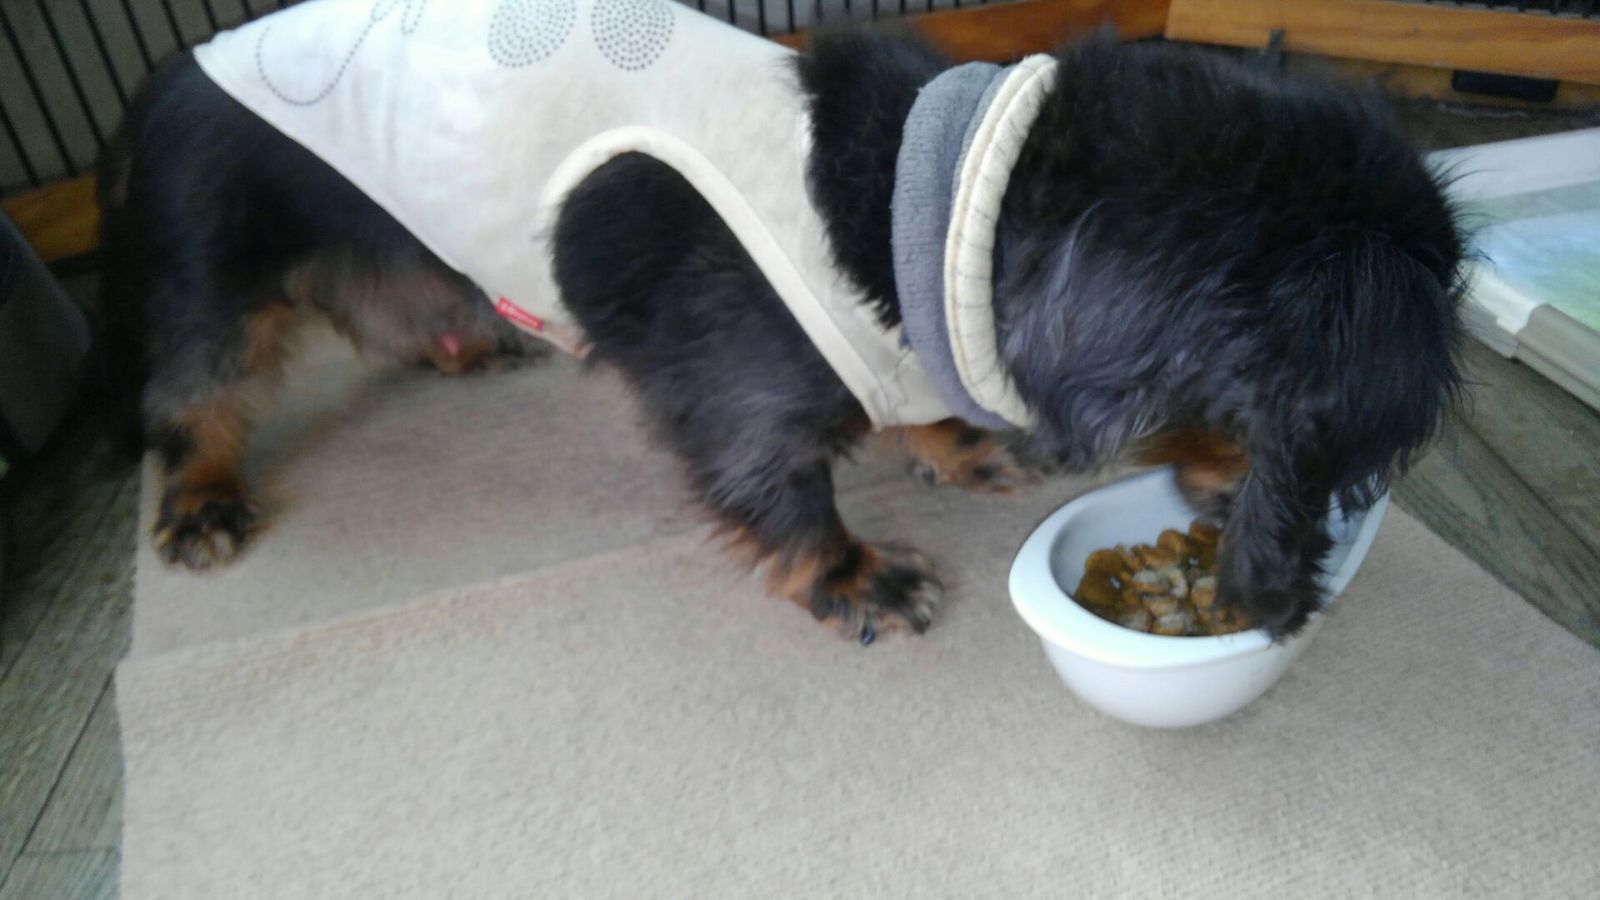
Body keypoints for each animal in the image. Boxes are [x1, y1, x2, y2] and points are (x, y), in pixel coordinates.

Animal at [92, 13, 1464, 645]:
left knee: (382, 299)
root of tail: (172, 69)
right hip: (213, 276)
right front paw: (855, 575)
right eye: (1305, 434)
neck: (920, 207)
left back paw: (470, 340)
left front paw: (950, 447)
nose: (1293, 578)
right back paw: (201, 501)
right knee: (191, 392)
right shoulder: (739, 400)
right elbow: (778, 485)